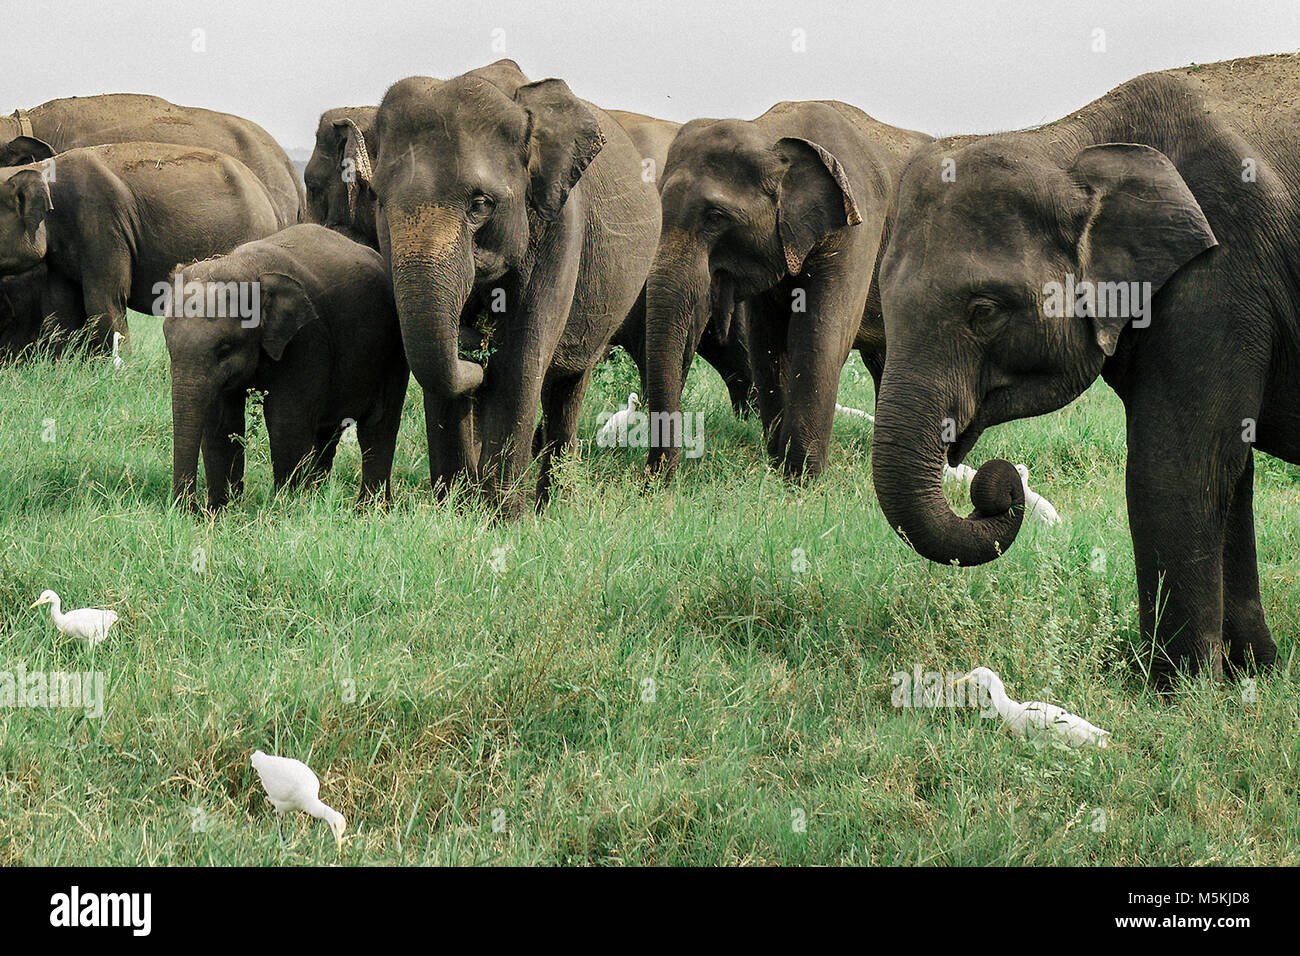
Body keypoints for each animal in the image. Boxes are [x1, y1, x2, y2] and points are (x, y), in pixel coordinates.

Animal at [165, 225, 405, 512]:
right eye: (168, 345)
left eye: (224, 349)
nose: (189, 509)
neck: (248, 267)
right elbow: (221, 424)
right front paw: (222, 512)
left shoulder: (306, 339)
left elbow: (286, 421)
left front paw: (287, 507)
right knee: (328, 431)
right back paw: (319, 494)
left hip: (392, 349)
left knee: (378, 426)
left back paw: (369, 509)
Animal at [374, 59, 660, 515]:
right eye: (380, 200)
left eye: (480, 204)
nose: (472, 341)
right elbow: (441, 376)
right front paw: (454, 511)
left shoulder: (562, 224)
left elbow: (518, 362)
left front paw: (502, 518)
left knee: (567, 389)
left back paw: (553, 505)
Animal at [644, 100, 930, 481]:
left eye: (716, 217)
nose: (653, 481)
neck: (772, 131)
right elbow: (765, 342)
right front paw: (779, 469)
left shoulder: (857, 224)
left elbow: (819, 338)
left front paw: (801, 479)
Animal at [873, 54, 1300, 686]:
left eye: (985, 311)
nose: (998, 487)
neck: (1069, 142)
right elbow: (1229, 469)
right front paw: (1255, 675)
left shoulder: (1218, 279)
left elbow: (1175, 468)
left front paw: (1177, 690)